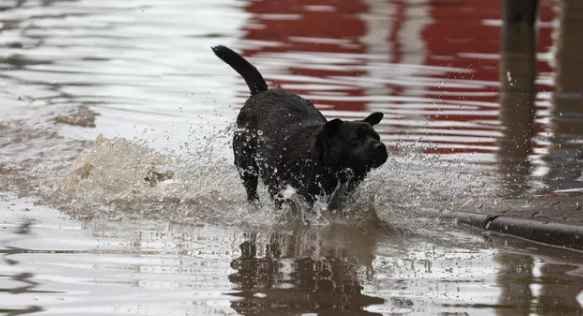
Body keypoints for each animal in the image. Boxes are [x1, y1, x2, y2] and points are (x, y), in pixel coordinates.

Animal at [213, 45, 388, 212]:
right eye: (356, 138)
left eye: (377, 137)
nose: (381, 146)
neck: (322, 162)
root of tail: (261, 92)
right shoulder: (288, 192)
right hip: (246, 164)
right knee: (251, 192)